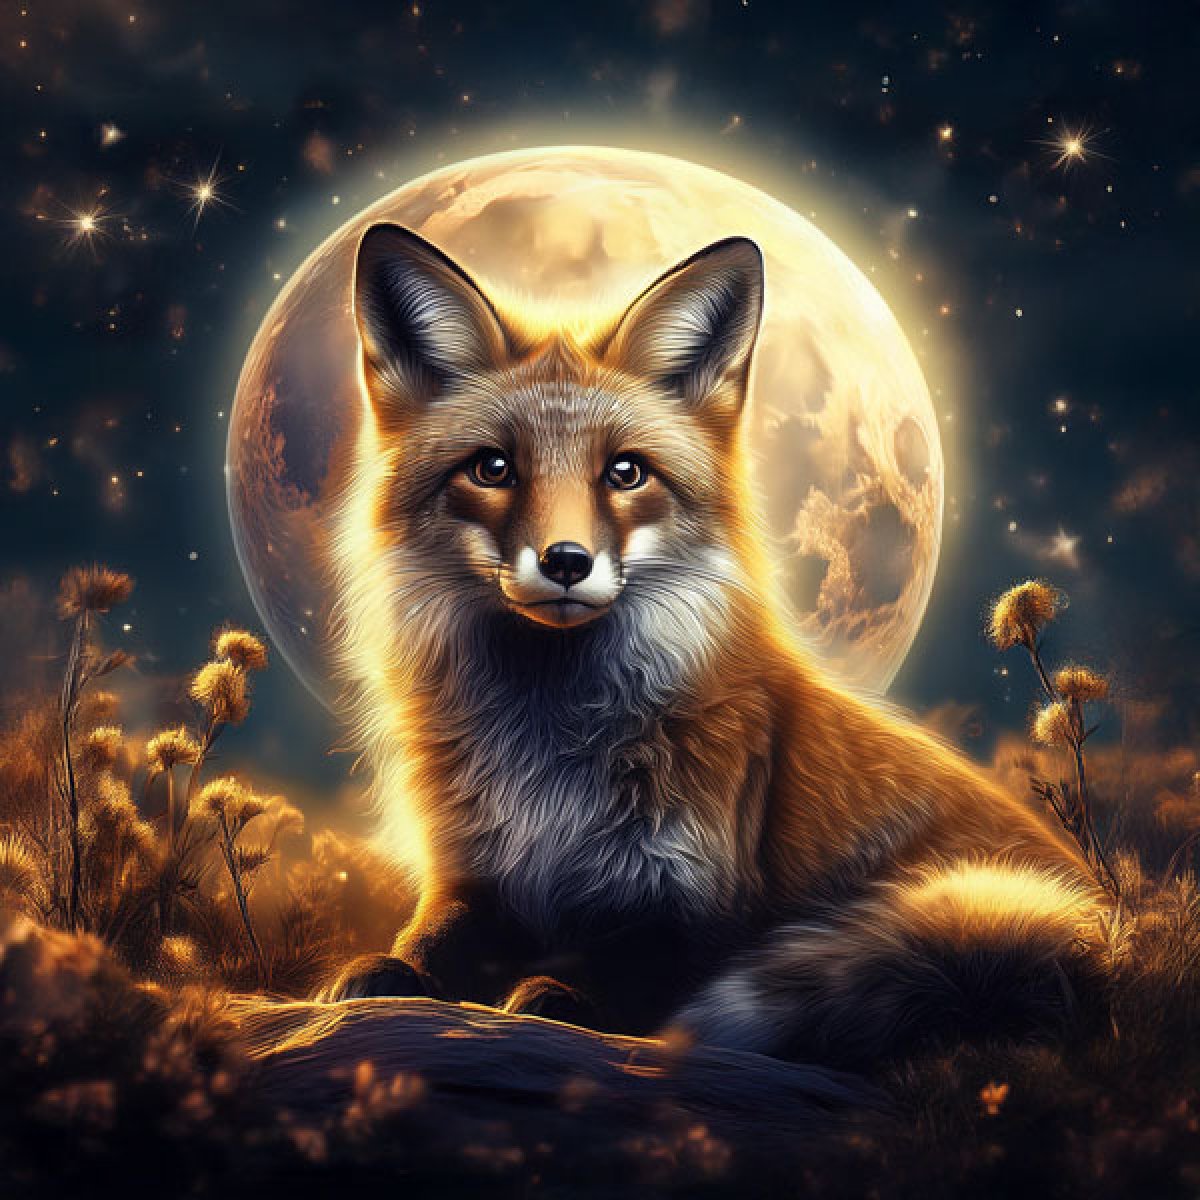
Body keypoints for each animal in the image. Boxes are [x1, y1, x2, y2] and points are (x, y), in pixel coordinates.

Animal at [319, 221, 1107, 1066]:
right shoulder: (473, 872)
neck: (548, 755)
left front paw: (559, 996)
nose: (566, 561)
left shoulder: (695, 899)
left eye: (626, 472)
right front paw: (381, 972)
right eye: (492, 468)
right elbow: (428, 941)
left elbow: (634, 971)